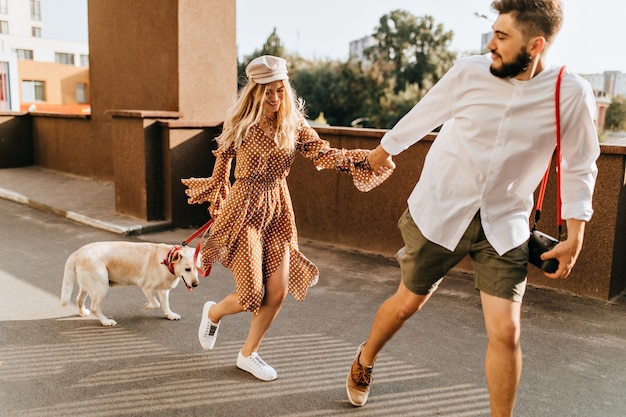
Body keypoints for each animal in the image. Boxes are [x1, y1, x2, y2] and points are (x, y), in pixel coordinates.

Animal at [60, 240, 197, 324]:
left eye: (198, 268)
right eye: (187, 269)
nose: (196, 284)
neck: (168, 259)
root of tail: (78, 252)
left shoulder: (163, 290)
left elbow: (165, 304)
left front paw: (170, 314)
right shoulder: (146, 288)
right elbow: (156, 303)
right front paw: (147, 305)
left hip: (88, 286)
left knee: (79, 299)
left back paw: (83, 312)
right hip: (101, 287)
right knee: (94, 308)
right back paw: (106, 322)